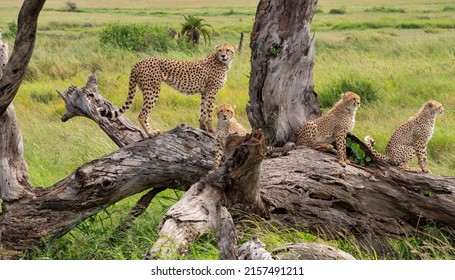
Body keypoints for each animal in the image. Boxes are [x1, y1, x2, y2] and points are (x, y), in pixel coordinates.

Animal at [99, 43, 235, 138]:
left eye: (228, 50)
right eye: (220, 50)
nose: (223, 56)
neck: (223, 63)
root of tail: (140, 61)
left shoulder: (205, 92)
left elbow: (203, 110)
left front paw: (203, 128)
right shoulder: (211, 91)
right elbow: (209, 111)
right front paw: (212, 130)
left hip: (147, 90)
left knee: (145, 114)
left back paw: (153, 131)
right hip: (152, 90)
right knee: (142, 115)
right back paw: (150, 134)